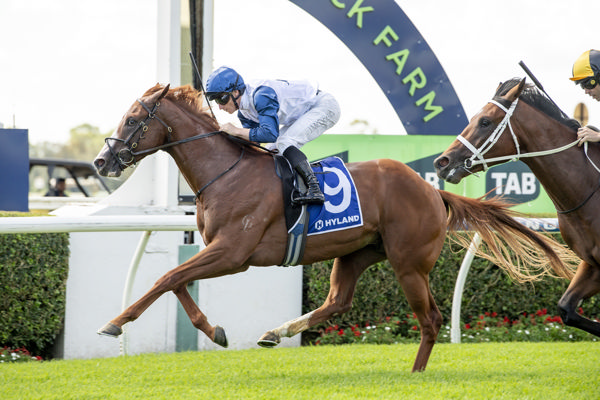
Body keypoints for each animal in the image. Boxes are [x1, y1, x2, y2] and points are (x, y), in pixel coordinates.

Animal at [93, 83, 575, 372]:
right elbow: (176, 280)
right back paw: (276, 332)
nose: (101, 161)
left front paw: (115, 323)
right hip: (357, 253)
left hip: (408, 263)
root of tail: (430, 188)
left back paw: (416, 374)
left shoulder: (233, 254)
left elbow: (167, 277)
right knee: (338, 302)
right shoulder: (218, 250)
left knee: (431, 319)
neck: (224, 172)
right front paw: (215, 331)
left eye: (133, 119)